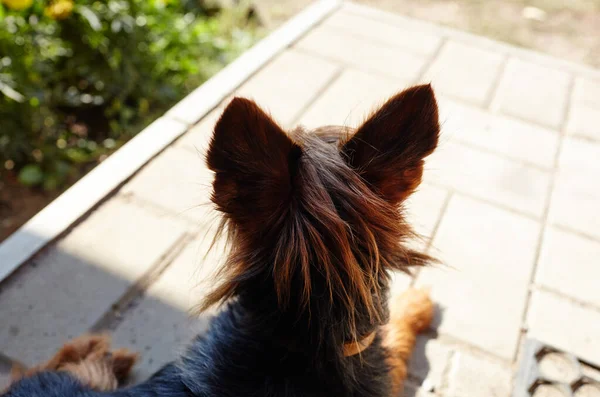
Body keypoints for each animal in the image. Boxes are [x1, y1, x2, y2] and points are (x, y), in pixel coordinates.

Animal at [2, 84, 438, 396]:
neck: (301, 333)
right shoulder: (384, 370)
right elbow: (397, 334)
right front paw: (419, 301)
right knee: (48, 367)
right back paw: (98, 349)